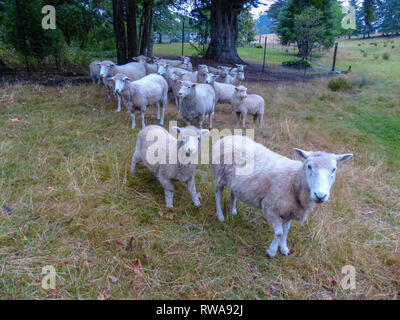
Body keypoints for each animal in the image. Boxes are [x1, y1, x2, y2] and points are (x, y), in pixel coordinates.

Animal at [212, 134, 354, 258]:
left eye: (334, 169)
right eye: (309, 166)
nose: (320, 195)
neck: (294, 181)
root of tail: (228, 136)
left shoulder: (289, 211)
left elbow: (286, 231)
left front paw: (284, 249)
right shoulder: (269, 207)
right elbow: (279, 233)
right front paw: (271, 252)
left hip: (234, 181)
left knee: (233, 192)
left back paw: (233, 210)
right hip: (219, 174)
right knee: (218, 194)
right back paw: (220, 216)